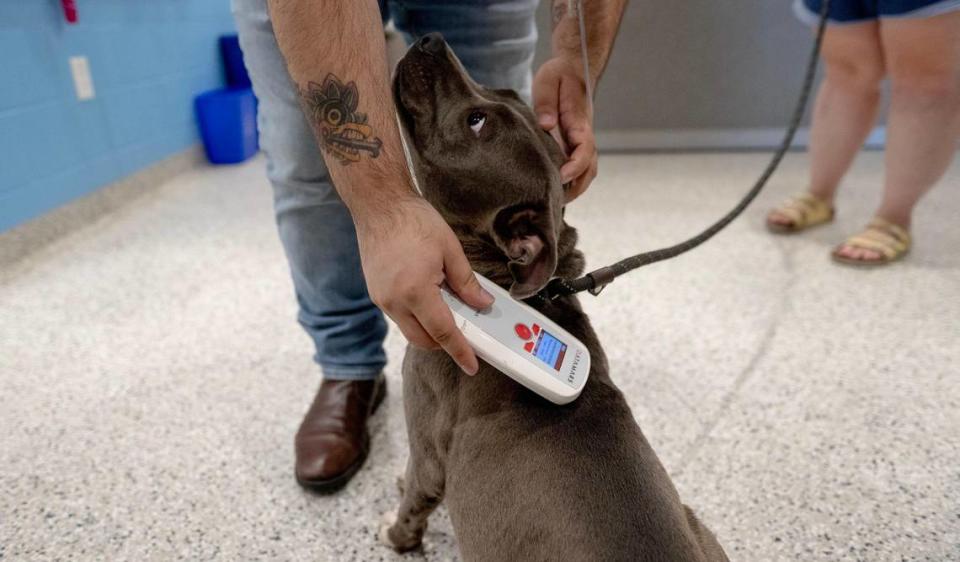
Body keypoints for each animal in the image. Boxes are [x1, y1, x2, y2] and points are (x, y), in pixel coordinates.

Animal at [378, 34, 732, 560]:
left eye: (477, 121)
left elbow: (415, 499)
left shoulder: (427, 445)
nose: (431, 40)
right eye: (506, 92)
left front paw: (395, 532)